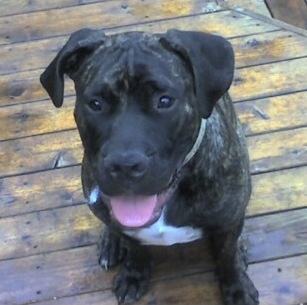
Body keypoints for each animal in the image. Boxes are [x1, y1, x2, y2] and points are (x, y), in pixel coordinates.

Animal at [39, 28, 258, 304]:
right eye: (95, 104)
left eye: (164, 101)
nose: (124, 164)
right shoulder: (129, 229)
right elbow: (136, 249)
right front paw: (134, 274)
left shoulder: (228, 223)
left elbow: (227, 257)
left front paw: (237, 287)